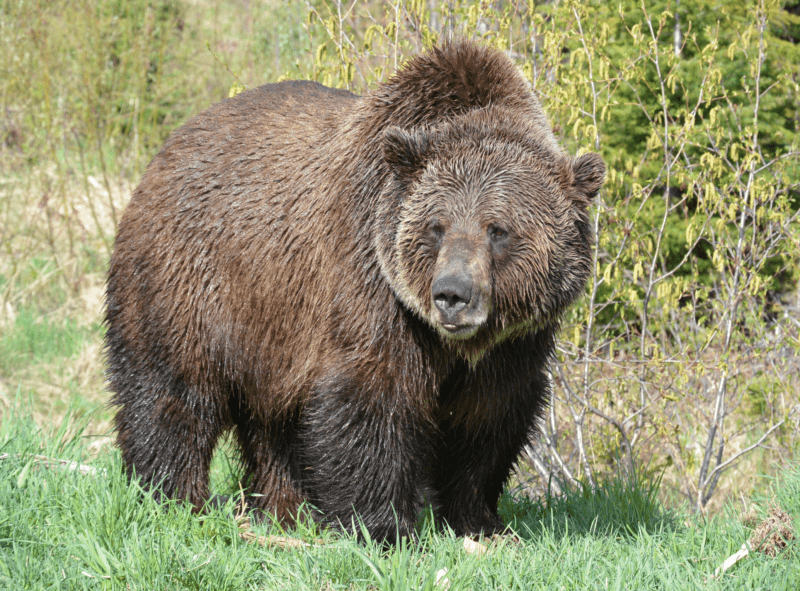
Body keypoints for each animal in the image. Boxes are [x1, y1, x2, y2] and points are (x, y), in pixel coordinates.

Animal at [108, 39, 608, 544]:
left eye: (498, 229)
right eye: (437, 226)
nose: (452, 294)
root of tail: (168, 147)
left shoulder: (515, 341)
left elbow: (489, 418)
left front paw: (480, 521)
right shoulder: (372, 286)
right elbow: (371, 398)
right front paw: (381, 527)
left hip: (271, 328)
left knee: (273, 424)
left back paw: (285, 509)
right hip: (192, 281)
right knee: (171, 393)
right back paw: (174, 497)